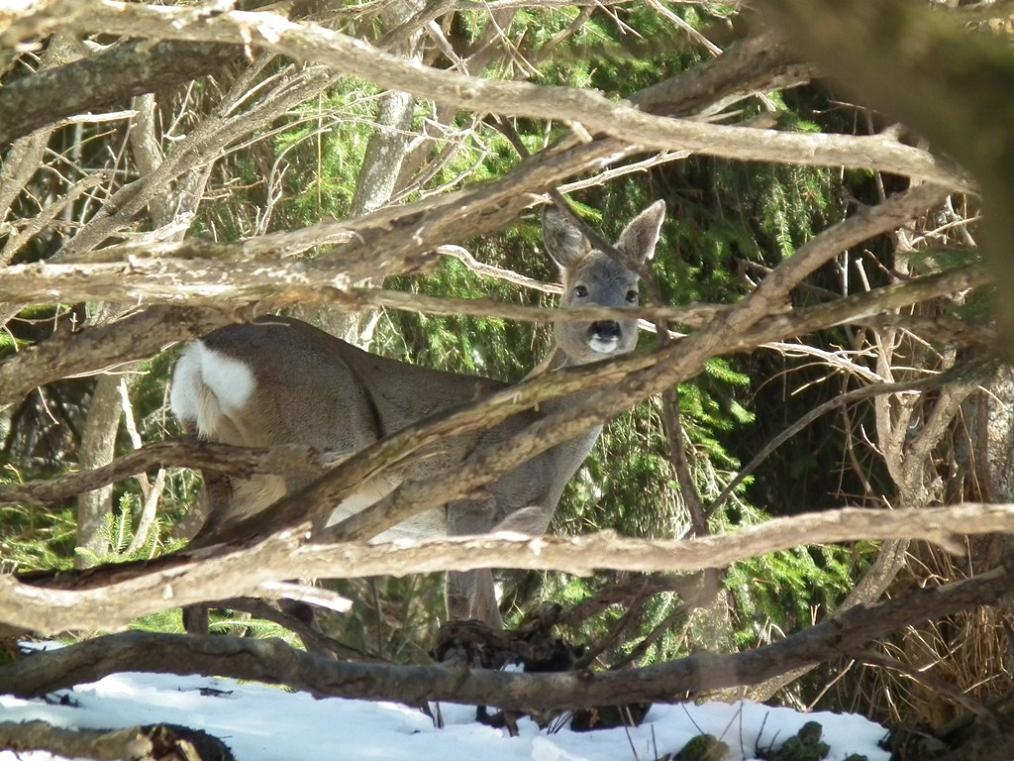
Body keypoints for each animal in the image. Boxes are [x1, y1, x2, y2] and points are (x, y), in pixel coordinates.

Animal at [172, 200, 665, 625]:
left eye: (632, 294)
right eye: (580, 290)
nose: (606, 329)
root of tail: (202, 352)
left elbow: (489, 614)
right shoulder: (472, 501)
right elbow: (462, 603)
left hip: (237, 469)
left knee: (191, 559)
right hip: (312, 447)